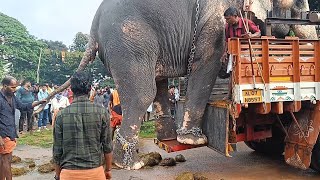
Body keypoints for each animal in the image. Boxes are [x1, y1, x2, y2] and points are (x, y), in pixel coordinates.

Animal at [42, 0, 318, 169]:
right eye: (298, 5)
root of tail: (93, 28)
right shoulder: (213, 22)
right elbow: (205, 63)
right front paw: (194, 141)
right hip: (128, 40)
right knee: (143, 94)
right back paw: (132, 164)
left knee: (157, 85)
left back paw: (164, 138)